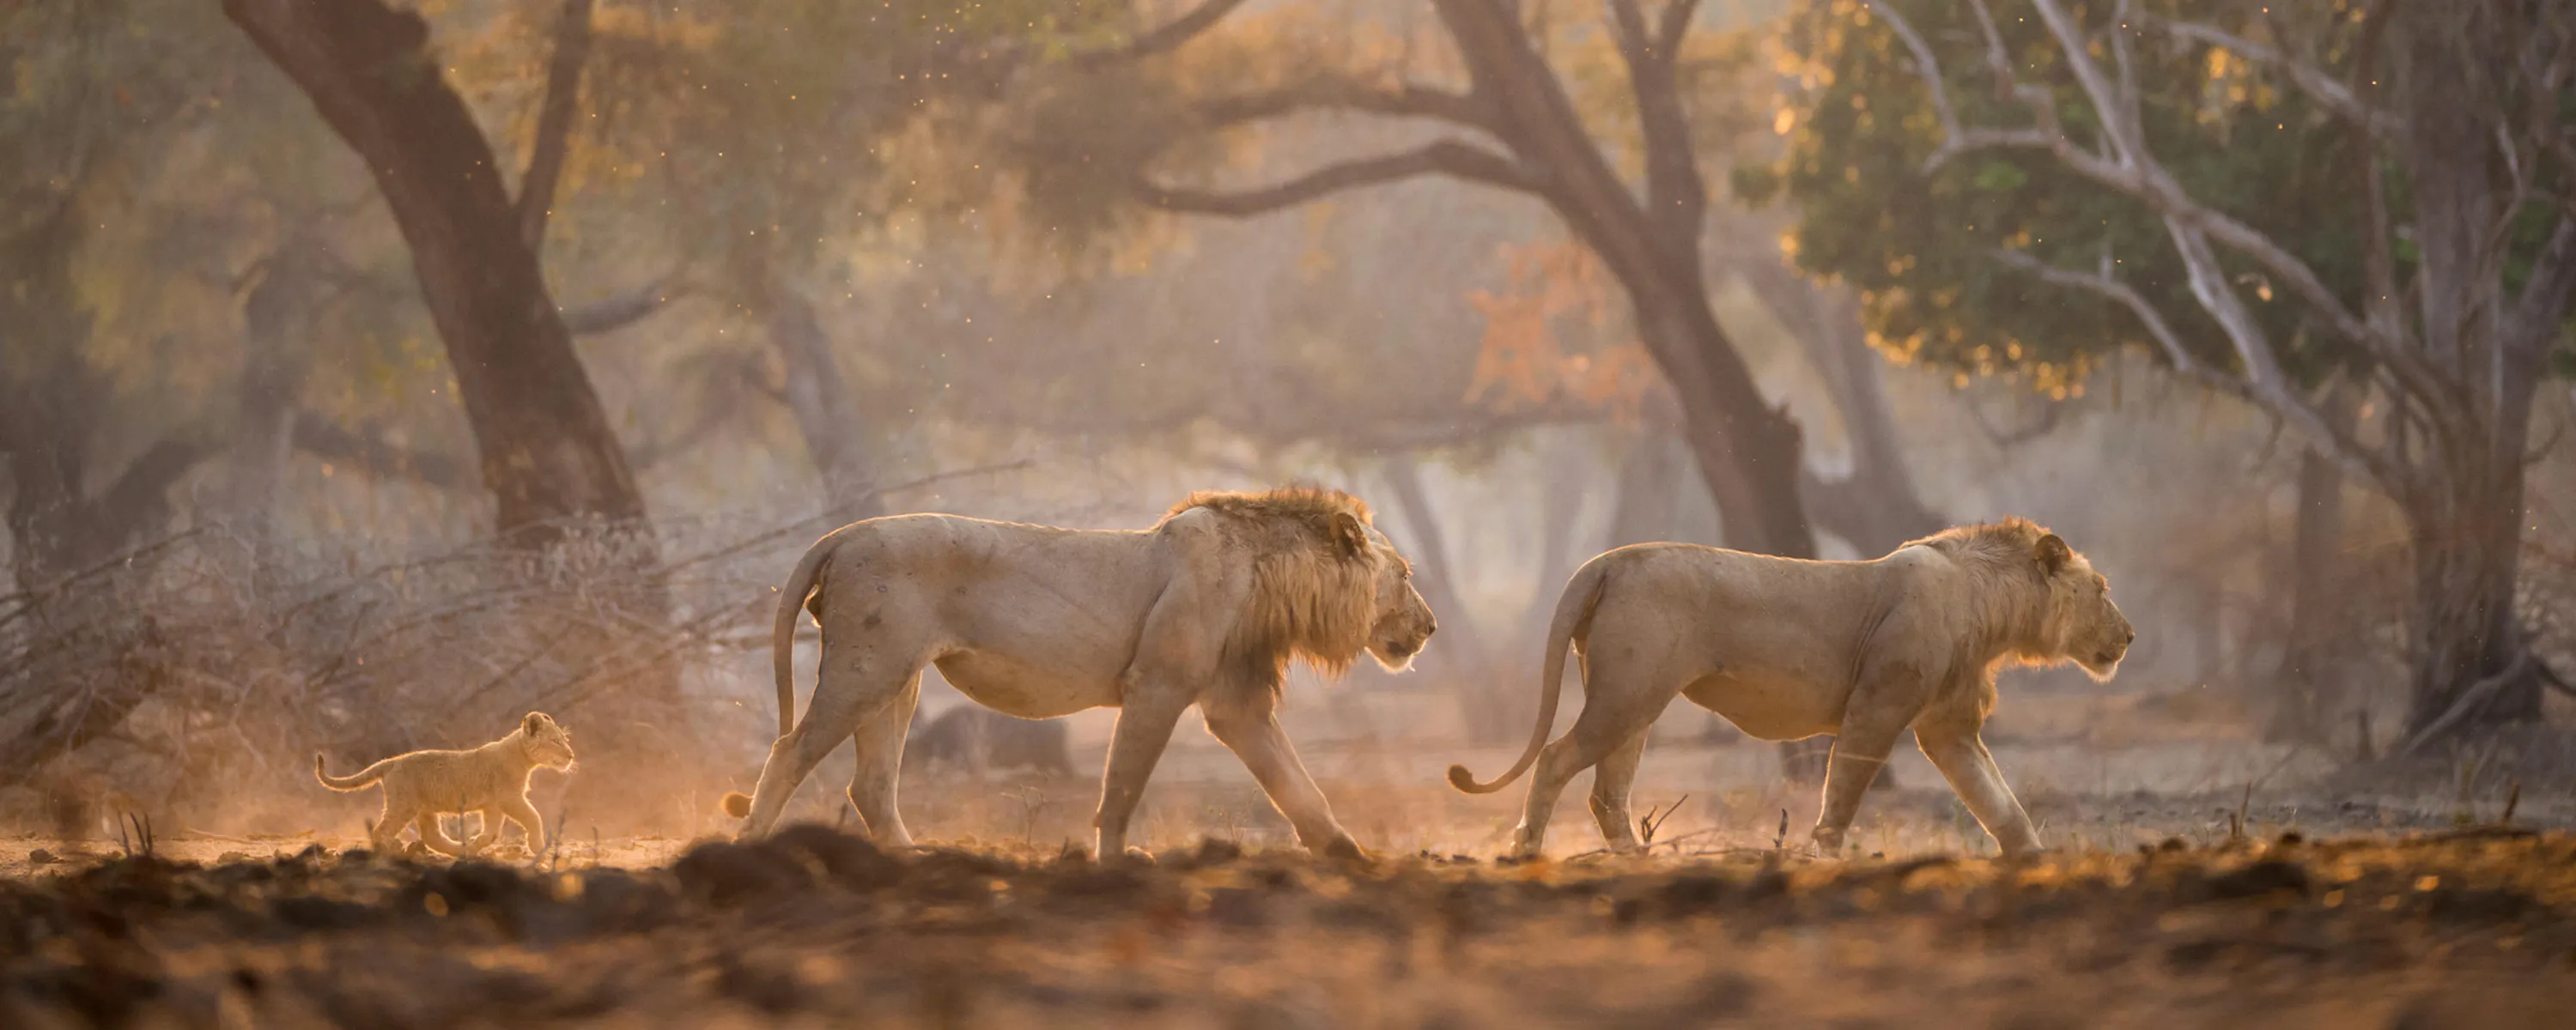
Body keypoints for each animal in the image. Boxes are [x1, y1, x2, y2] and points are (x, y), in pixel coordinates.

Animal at [316, 712, 576, 857]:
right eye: (555, 741)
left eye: (564, 740)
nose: (571, 755)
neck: (522, 755)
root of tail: (391, 762)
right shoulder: (509, 797)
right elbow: (533, 817)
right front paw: (538, 846)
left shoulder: (493, 805)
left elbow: (491, 832)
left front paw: (476, 844)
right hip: (403, 803)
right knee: (383, 830)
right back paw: (390, 852)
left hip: (425, 809)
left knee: (433, 837)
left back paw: (461, 850)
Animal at [717, 486, 1438, 859]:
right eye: (1404, 575)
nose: (1431, 627)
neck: (1272, 578)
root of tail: (842, 533)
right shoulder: (1157, 686)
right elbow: (1122, 786)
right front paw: (1116, 862)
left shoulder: (1237, 704)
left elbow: (1298, 786)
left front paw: (1350, 856)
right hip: (867, 668)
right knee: (789, 751)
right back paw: (748, 849)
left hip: (898, 678)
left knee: (870, 785)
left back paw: (912, 862)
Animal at [1449, 519, 2131, 859]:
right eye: (2102, 589)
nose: (2128, 636)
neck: (1991, 608)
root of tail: (1607, 559)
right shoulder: (1877, 709)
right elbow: (1845, 792)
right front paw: (1823, 856)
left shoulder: (1949, 729)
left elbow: (2000, 804)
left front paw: (2036, 863)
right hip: (1627, 696)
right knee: (1555, 759)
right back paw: (1528, 850)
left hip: (1632, 705)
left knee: (1606, 793)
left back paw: (1637, 862)